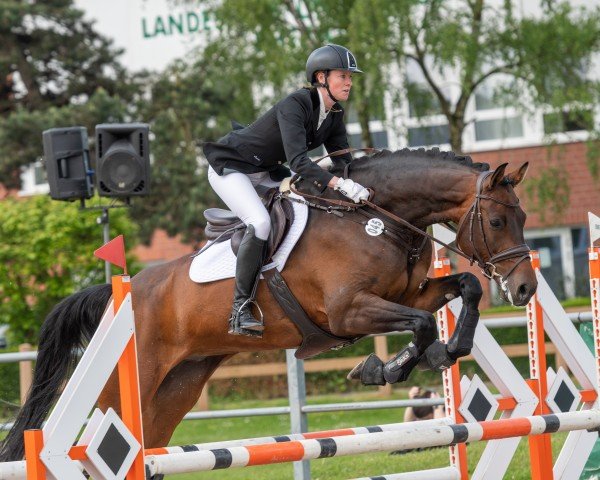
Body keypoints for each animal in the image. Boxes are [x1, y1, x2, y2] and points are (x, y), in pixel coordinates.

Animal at [0, 148, 536, 464]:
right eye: (495, 221)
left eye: (524, 218)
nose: (526, 289)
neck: (376, 219)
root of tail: (122, 290)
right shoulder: (349, 311)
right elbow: (422, 323)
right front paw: (382, 369)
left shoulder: (404, 294)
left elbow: (464, 288)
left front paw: (448, 351)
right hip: (126, 387)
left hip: (177, 390)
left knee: (151, 442)